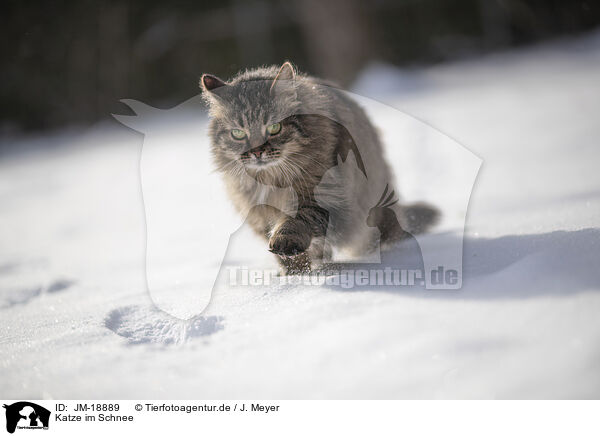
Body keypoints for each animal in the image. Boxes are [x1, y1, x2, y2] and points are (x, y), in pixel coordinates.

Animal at [200, 62, 436, 272]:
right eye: (238, 133)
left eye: (274, 128)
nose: (257, 152)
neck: (272, 178)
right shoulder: (258, 214)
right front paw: (293, 276)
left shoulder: (322, 196)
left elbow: (296, 222)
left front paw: (286, 244)